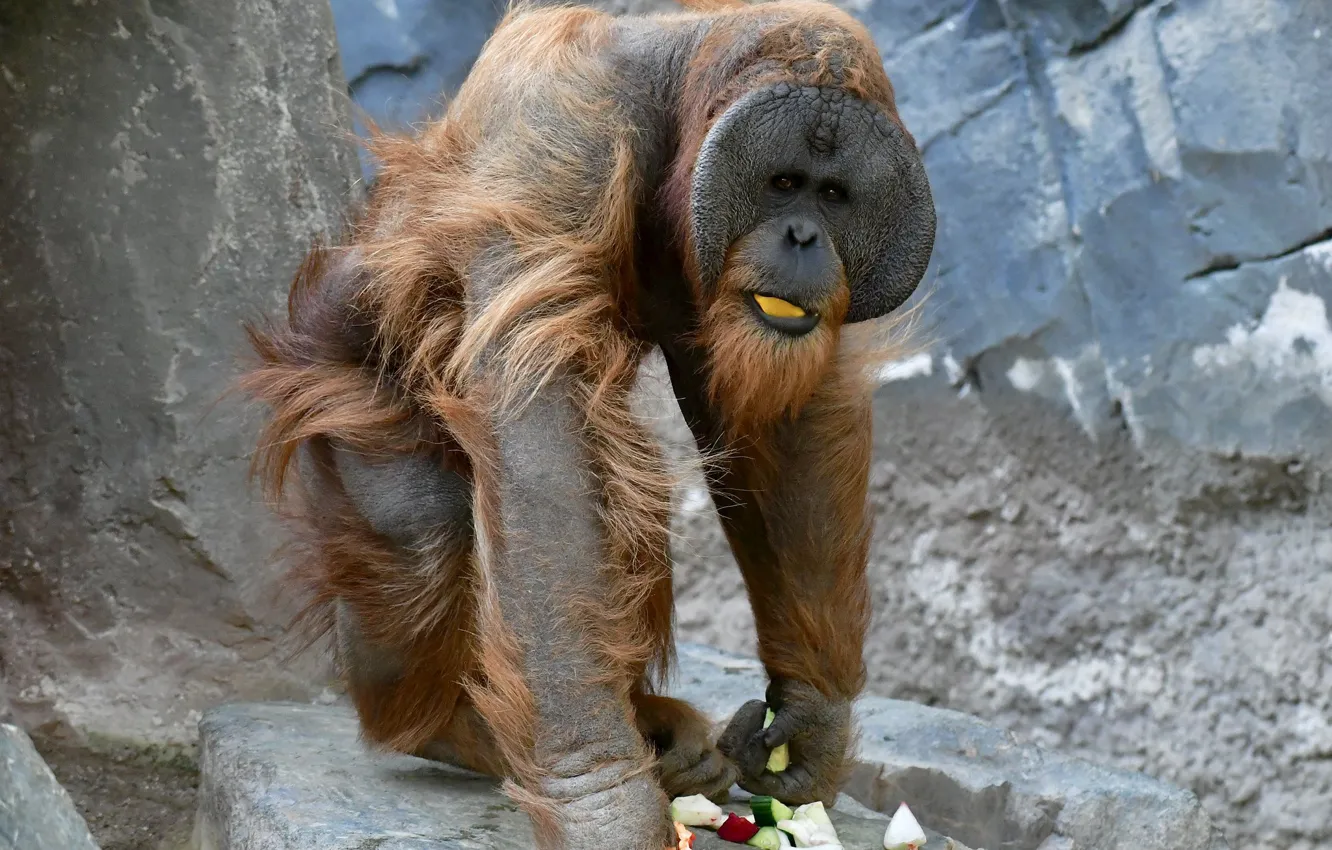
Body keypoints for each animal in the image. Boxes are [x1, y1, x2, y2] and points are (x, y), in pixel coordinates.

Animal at [239, 1, 935, 848]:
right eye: (782, 184)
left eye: (834, 196)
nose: (802, 236)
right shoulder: (558, 143)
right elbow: (539, 442)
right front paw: (603, 805)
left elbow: (784, 425)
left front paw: (809, 725)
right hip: (345, 383)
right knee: (420, 529)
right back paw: (452, 730)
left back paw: (662, 740)